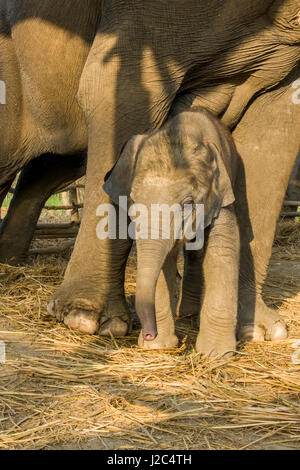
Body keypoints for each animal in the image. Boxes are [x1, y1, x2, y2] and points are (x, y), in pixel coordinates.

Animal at [104, 108, 240, 358]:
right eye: (133, 201)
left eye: (187, 203)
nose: (149, 334)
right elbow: (162, 260)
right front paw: (158, 346)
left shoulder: (220, 196)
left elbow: (223, 248)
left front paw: (215, 354)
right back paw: (186, 314)